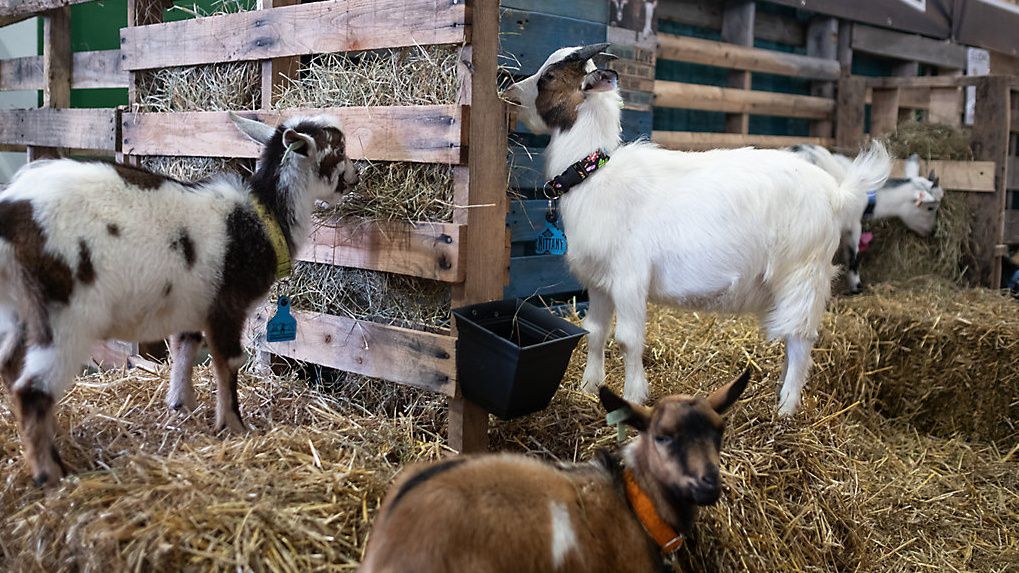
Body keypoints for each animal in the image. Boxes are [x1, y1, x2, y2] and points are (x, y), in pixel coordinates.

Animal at [0, 112, 358, 485]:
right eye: (338, 149)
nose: (355, 177)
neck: (263, 216)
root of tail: (10, 211)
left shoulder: (192, 306)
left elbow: (184, 350)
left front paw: (181, 407)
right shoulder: (228, 304)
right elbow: (229, 361)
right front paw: (233, 426)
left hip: (18, 309)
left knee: (10, 366)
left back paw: (57, 438)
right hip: (63, 311)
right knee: (32, 388)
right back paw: (51, 472)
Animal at [790, 144, 941, 291]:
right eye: (930, 208)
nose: (931, 231)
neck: (869, 195)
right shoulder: (853, 224)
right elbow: (853, 256)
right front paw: (856, 286)